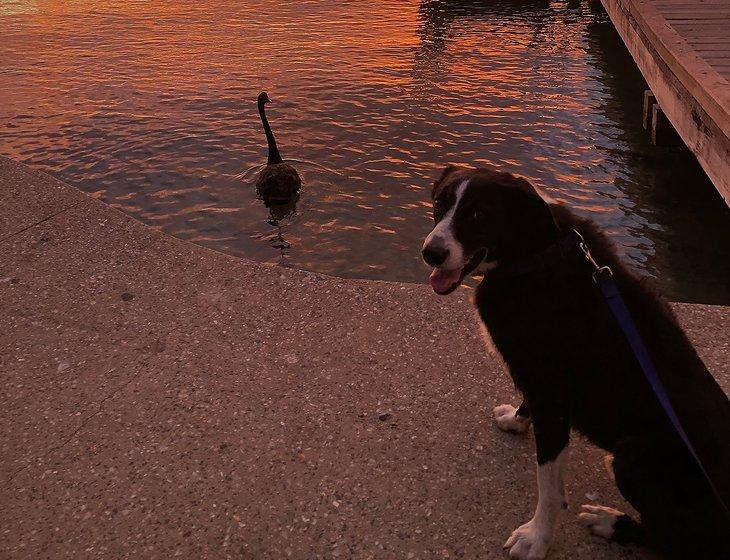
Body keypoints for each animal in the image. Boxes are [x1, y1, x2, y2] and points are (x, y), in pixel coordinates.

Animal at [420, 165, 728, 560]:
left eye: (478, 214)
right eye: (439, 203)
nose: (431, 253)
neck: (534, 250)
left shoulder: (551, 398)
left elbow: (550, 487)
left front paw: (536, 538)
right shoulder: (538, 379)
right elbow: (527, 404)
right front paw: (516, 420)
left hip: (633, 456)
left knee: (673, 541)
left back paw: (611, 523)